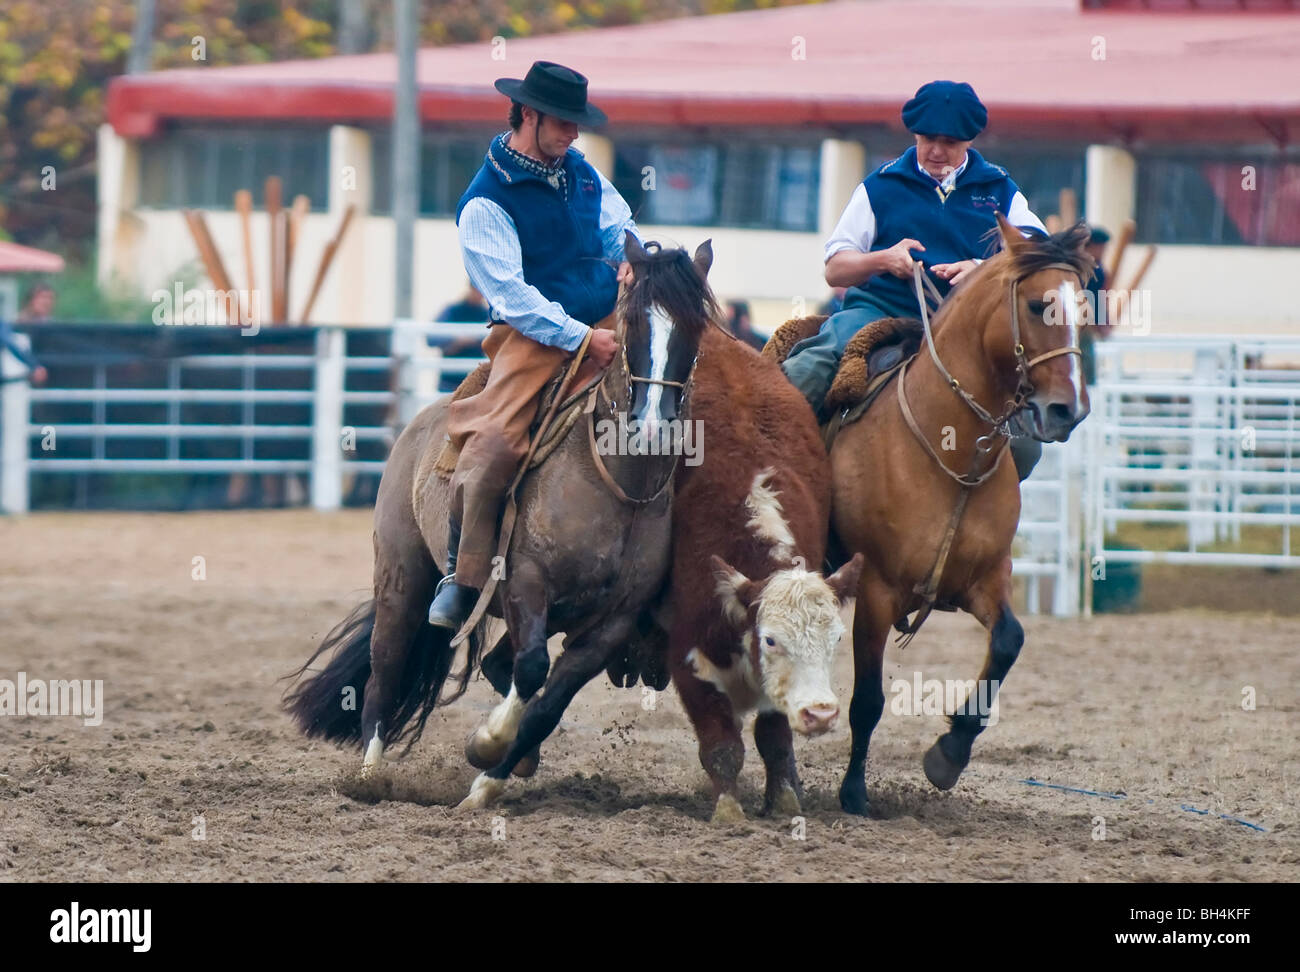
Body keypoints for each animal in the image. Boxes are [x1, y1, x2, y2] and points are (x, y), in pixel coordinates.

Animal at [284, 231, 717, 810]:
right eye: (631, 320)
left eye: (697, 324)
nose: (651, 428)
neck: (617, 486)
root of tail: (421, 423)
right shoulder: (525, 581)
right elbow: (531, 669)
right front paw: (490, 743)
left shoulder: (612, 623)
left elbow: (548, 702)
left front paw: (490, 779)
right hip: (402, 580)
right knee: (384, 673)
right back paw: (370, 776)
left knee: (494, 665)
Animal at [821, 217, 1097, 816]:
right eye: (1039, 305)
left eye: (1085, 310)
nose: (1068, 410)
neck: (947, 447)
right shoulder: (876, 589)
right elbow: (868, 700)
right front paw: (854, 793)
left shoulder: (985, 579)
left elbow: (1009, 642)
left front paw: (950, 752)